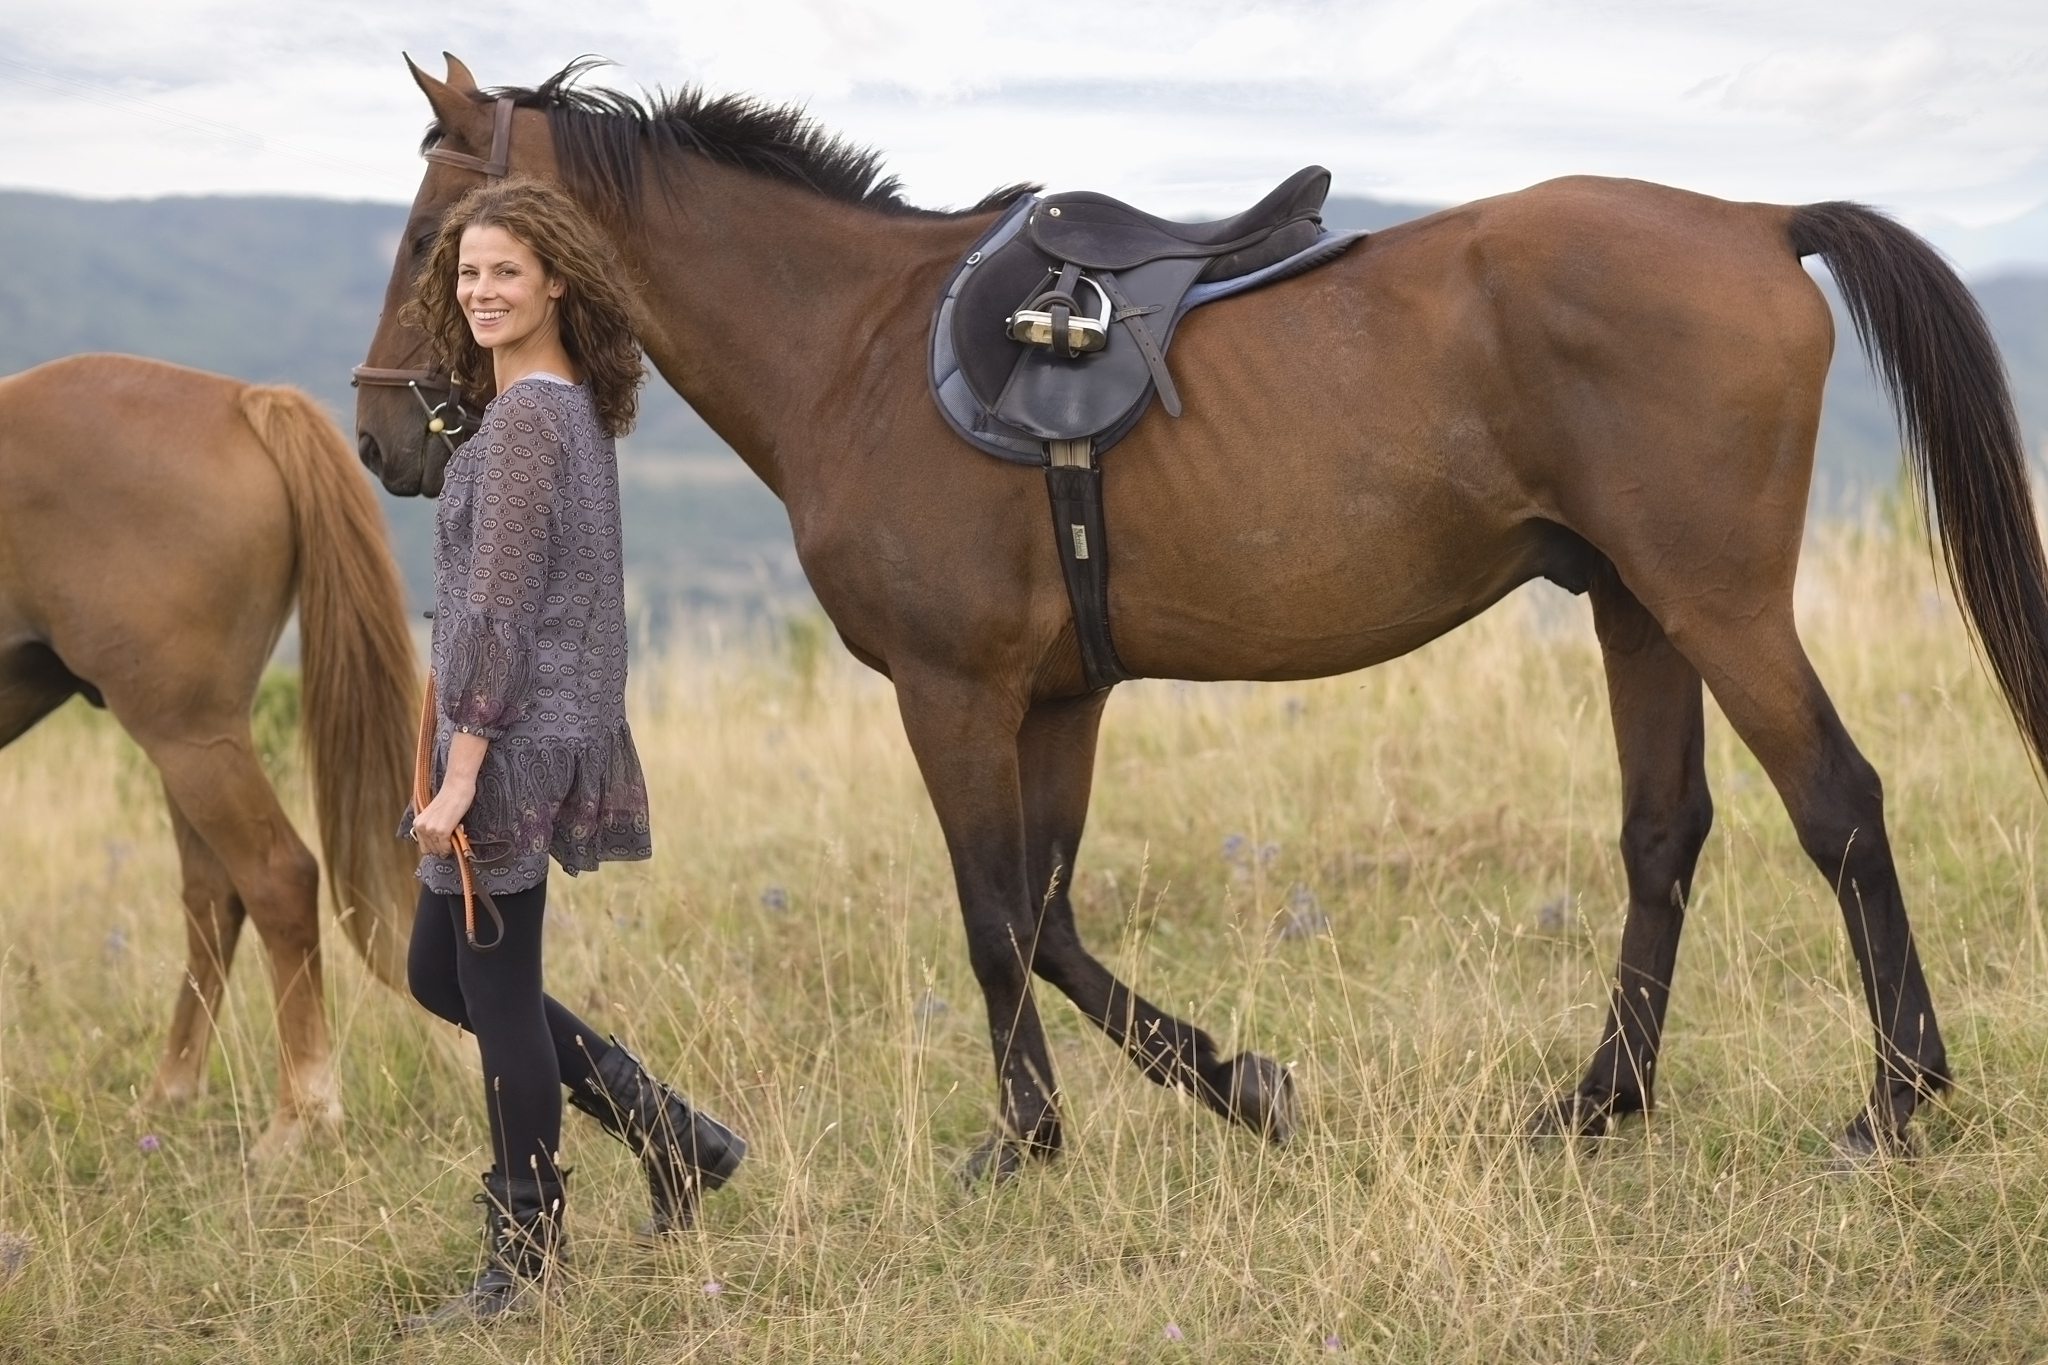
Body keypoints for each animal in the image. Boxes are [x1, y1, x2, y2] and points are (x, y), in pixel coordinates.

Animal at [0, 354, 417, 1159]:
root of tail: (242, 400)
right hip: (189, 742)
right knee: (215, 897)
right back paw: (171, 1092)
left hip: (189, 738)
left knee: (278, 877)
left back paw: (299, 1119)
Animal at [354, 56, 2048, 1173]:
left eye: (438, 237)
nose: (382, 434)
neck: (857, 346)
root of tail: (1759, 218)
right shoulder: (1056, 697)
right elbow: (1048, 919)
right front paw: (1242, 1084)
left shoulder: (953, 690)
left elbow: (992, 920)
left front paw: (1025, 1140)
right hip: (1637, 608)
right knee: (1662, 836)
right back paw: (1598, 1102)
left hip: (1715, 598)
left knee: (1838, 804)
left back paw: (1895, 1100)